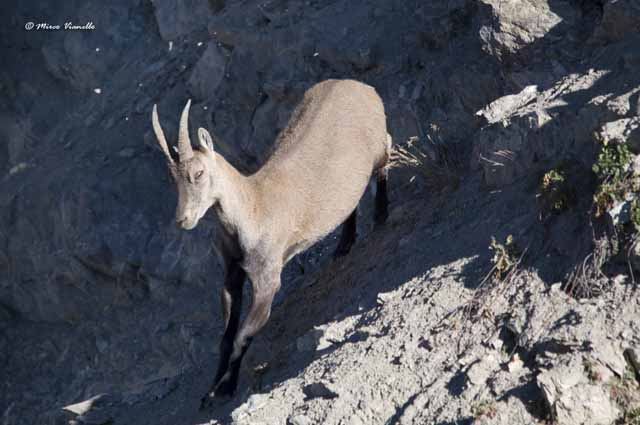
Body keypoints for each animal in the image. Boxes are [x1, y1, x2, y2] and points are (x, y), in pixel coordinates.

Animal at [150, 79, 391, 407]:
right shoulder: (232, 274)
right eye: (173, 178)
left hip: (378, 144)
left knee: (387, 152)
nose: (183, 219)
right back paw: (344, 244)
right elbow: (225, 338)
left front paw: (224, 388)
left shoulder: (267, 278)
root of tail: (362, 87)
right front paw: (209, 392)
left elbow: (242, 336)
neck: (253, 209)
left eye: (198, 173)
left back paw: (381, 214)